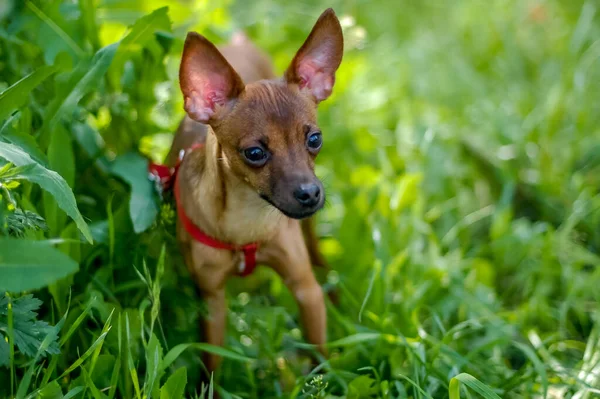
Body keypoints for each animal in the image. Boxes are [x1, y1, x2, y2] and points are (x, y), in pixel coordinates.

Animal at [163, 7, 342, 376]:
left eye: (314, 139)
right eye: (255, 153)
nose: (310, 193)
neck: (246, 222)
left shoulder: (306, 292)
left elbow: (318, 354)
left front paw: (326, 380)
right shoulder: (211, 301)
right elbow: (211, 364)